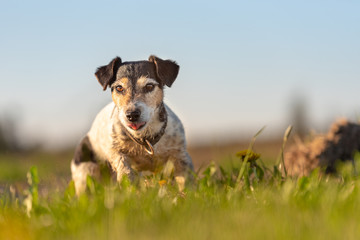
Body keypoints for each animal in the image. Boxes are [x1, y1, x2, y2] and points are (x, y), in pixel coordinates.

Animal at [71, 55, 194, 194]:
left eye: (149, 86)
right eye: (119, 88)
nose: (132, 115)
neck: (144, 138)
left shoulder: (180, 154)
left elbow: (185, 179)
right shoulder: (116, 152)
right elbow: (125, 171)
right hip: (86, 175)